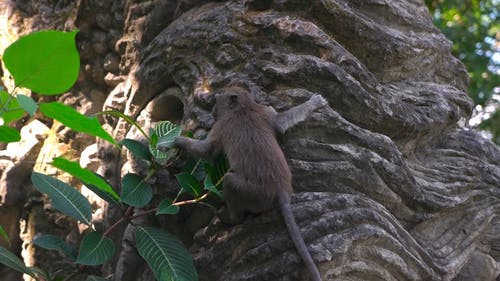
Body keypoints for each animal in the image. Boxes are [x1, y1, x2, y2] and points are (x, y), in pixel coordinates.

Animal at [174, 85, 326, 280]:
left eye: (217, 100)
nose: (213, 111)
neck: (243, 108)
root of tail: (281, 191)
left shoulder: (221, 125)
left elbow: (207, 151)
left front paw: (178, 141)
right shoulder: (263, 112)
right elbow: (280, 122)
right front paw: (314, 103)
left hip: (253, 194)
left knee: (230, 182)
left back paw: (230, 218)